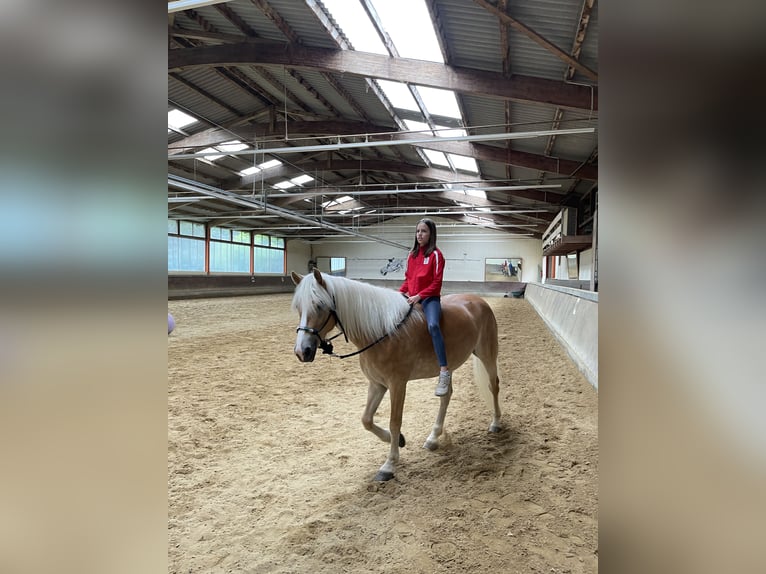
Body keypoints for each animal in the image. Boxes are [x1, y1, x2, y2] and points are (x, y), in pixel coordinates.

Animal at [290, 268, 504, 482]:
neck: (383, 332)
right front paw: (399, 440)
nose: (302, 351)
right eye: (298, 307)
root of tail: (479, 301)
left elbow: (395, 421)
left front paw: (389, 465)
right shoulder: (377, 384)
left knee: (493, 385)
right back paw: (433, 438)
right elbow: (366, 420)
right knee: (446, 396)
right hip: (448, 366)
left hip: (487, 355)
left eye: (319, 305)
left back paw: (495, 423)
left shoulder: (397, 384)